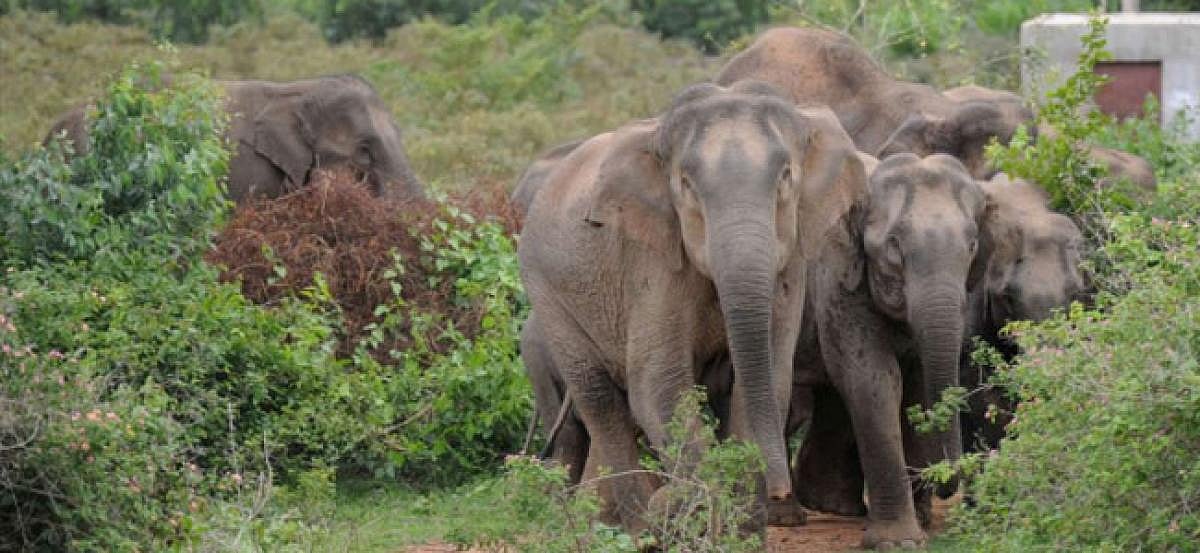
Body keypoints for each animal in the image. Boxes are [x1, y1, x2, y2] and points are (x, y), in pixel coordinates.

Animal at [518, 81, 865, 535]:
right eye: (685, 185)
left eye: (786, 177)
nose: (780, 492)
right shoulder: (652, 259)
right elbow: (659, 386)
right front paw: (700, 515)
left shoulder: (791, 261)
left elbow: (769, 376)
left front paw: (744, 530)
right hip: (548, 295)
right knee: (600, 401)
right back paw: (637, 526)